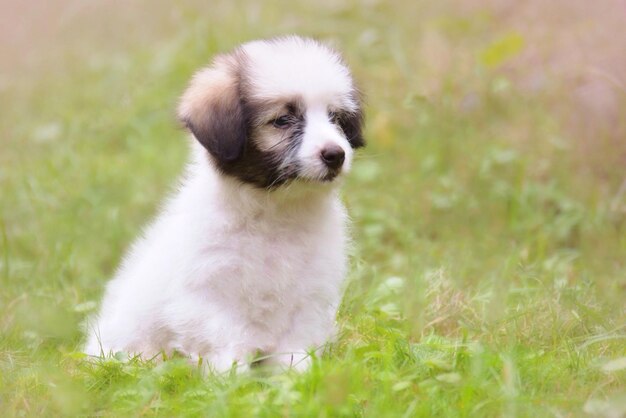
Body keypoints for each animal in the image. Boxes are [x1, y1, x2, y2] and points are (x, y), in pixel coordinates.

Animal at [85, 36, 364, 372]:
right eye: (282, 120)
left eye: (335, 118)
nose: (336, 154)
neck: (275, 211)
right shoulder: (204, 298)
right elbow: (229, 341)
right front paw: (233, 381)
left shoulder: (309, 295)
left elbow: (296, 347)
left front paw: (297, 379)